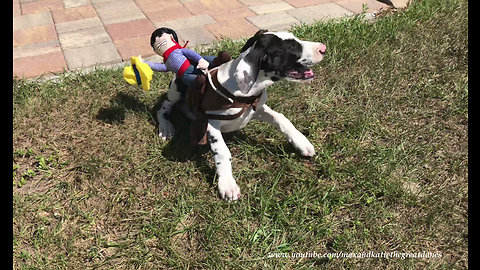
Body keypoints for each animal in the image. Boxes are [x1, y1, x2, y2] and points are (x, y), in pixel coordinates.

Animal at [157, 30, 326, 201]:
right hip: (176, 91)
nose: (323, 48)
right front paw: (227, 184)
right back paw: (165, 127)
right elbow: (222, 152)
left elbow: (281, 118)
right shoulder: (211, 124)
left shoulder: (257, 109)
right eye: (291, 46)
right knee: (163, 108)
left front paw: (301, 142)